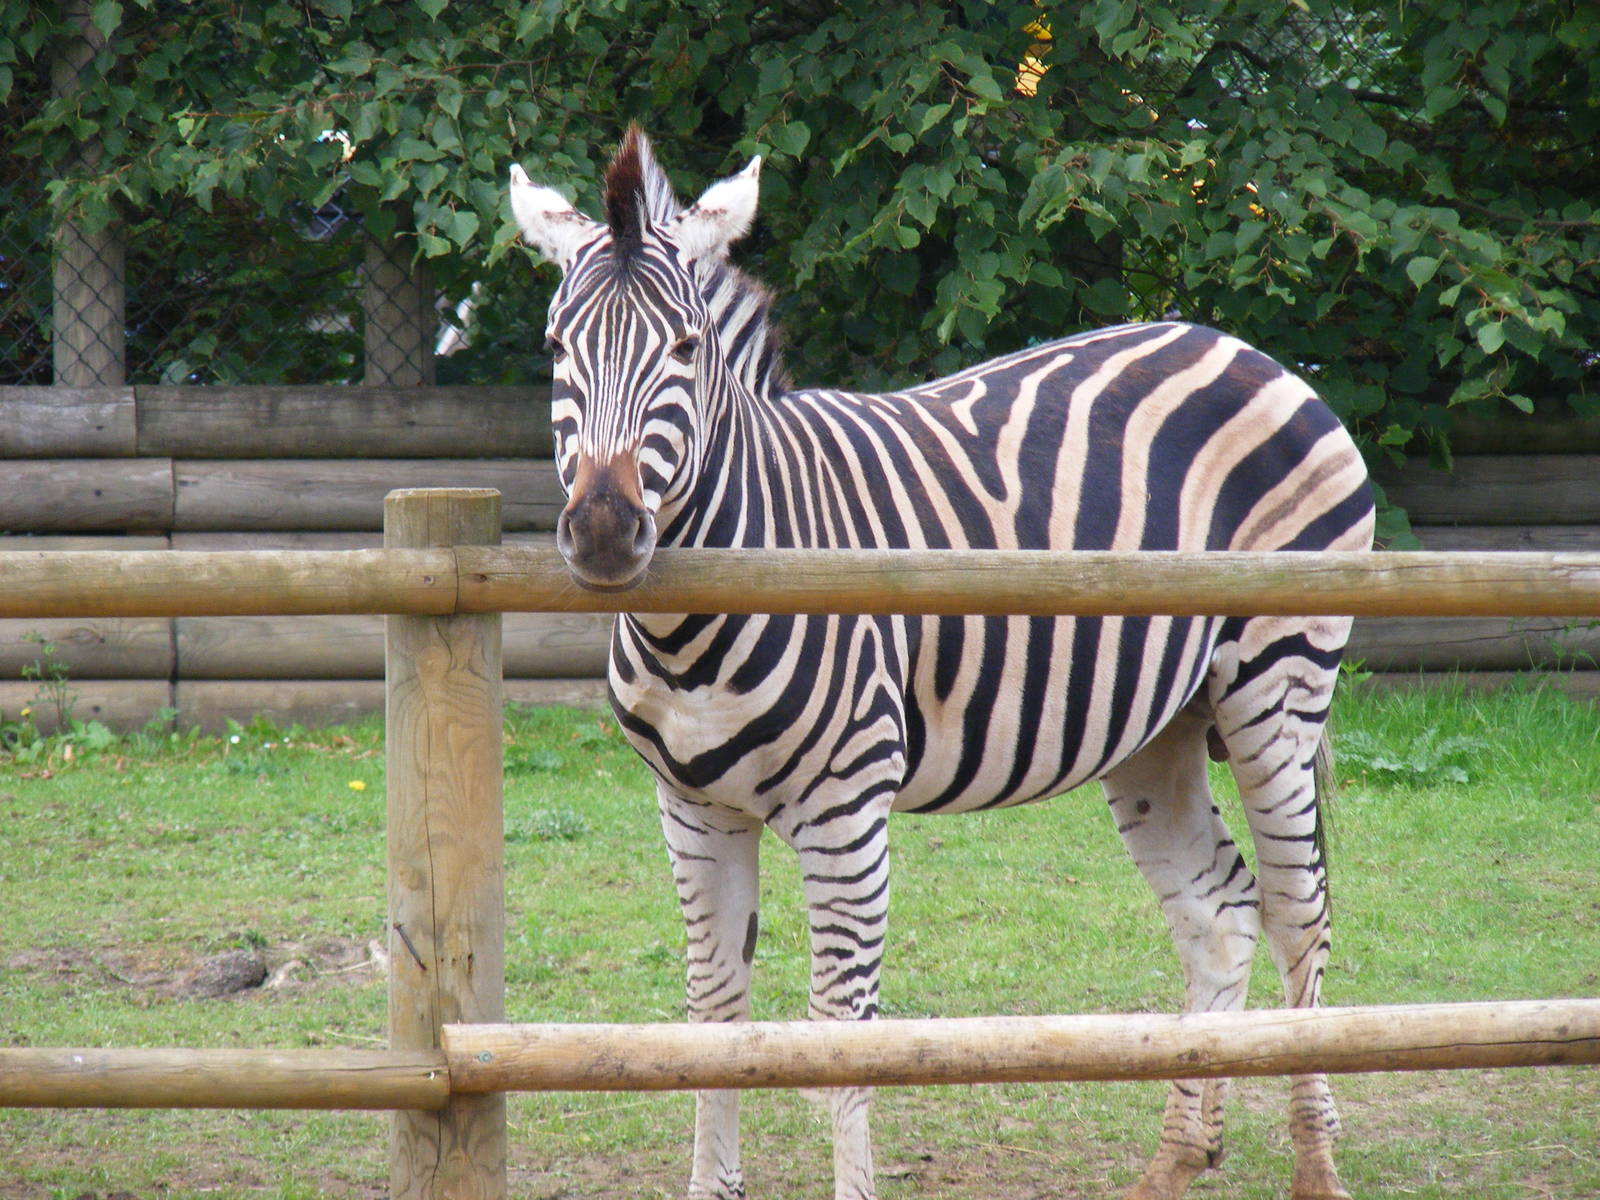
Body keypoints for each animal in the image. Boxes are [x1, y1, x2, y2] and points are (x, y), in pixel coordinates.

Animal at [508, 127, 1374, 1200]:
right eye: (556, 350)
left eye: (686, 349)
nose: (601, 532)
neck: (697, 619)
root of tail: (1247, 350)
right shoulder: (692, 808)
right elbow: (713, 1013)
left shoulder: (846, 808)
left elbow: (840, 1030)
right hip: (1159, 726)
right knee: (1219, 912)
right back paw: (1177, 1160)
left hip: (1276, 687)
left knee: (1301, 912)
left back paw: (1316, 1165)